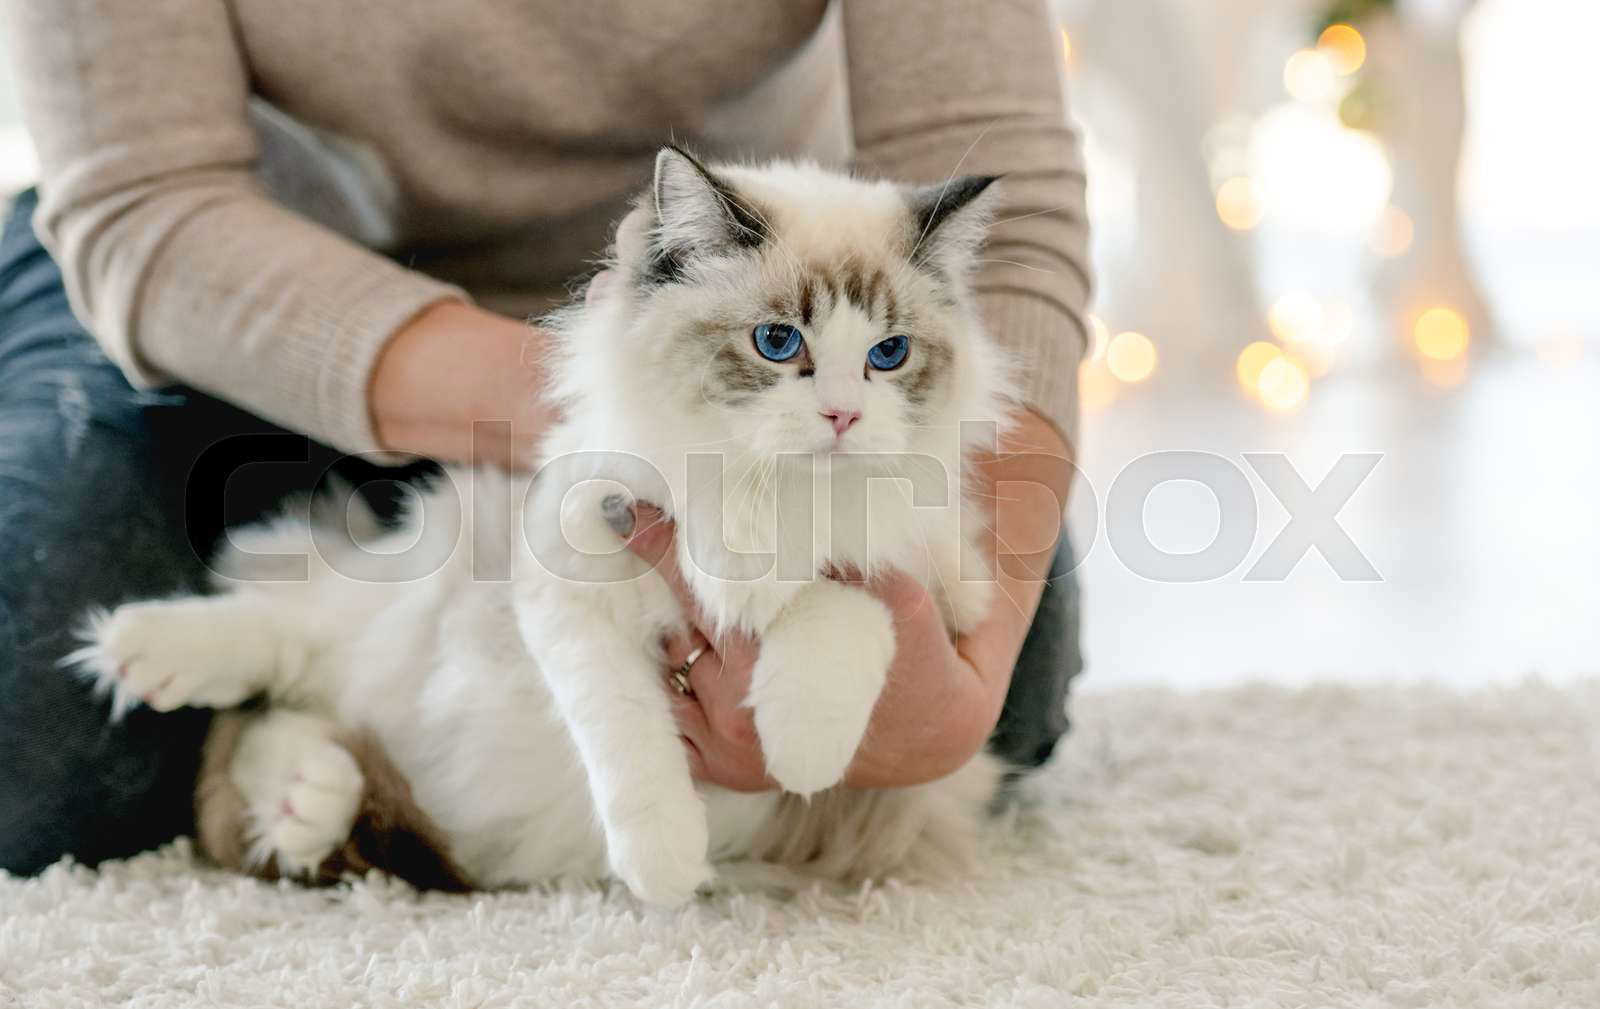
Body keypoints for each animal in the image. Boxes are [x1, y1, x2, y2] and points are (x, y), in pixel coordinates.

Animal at [72, 146, 1011, 901]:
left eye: (888, 354)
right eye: (778, 342)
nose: (844, 417)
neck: (759, 494)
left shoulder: (925, 585)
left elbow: (838, 608)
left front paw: (798, 751)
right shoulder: (573, 579)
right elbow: (628, 745)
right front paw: (664, 867)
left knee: (297, 713)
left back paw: (304, 801)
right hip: (425, 593)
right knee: (287, 639)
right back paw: (143, 653)